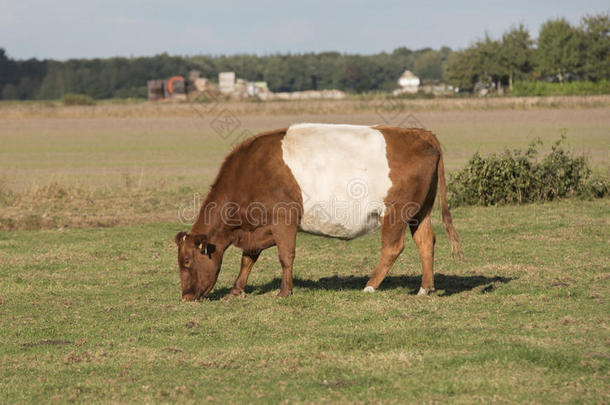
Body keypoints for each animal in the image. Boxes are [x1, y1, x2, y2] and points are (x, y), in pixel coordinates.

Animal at [175, 123, 460, 300]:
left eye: (186, 262)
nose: (186, 297)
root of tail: (420, 134)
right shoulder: (258, 228)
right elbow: (249, 258)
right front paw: (237, 289)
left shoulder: (284, 219)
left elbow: (286, 256)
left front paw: (284, 292)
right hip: (419, 212)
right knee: (425, 241)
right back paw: (425, 288)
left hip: (395, 213)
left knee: (393, 247)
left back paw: (370, 286)